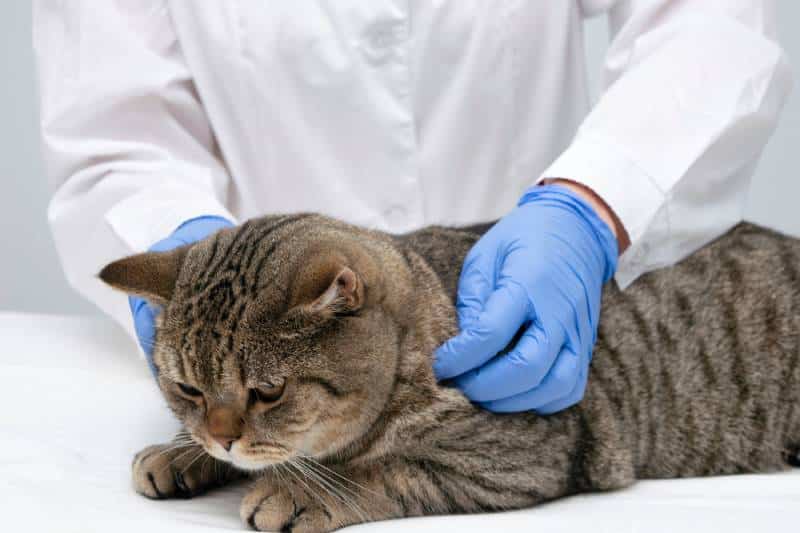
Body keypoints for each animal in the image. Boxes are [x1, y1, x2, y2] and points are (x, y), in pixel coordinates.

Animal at [100, 214, 800, 528]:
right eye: (187, 387)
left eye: (267, 392)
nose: (220, 436)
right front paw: (182, 451)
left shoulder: (515, 456)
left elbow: (382, 470)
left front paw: (299, 491)